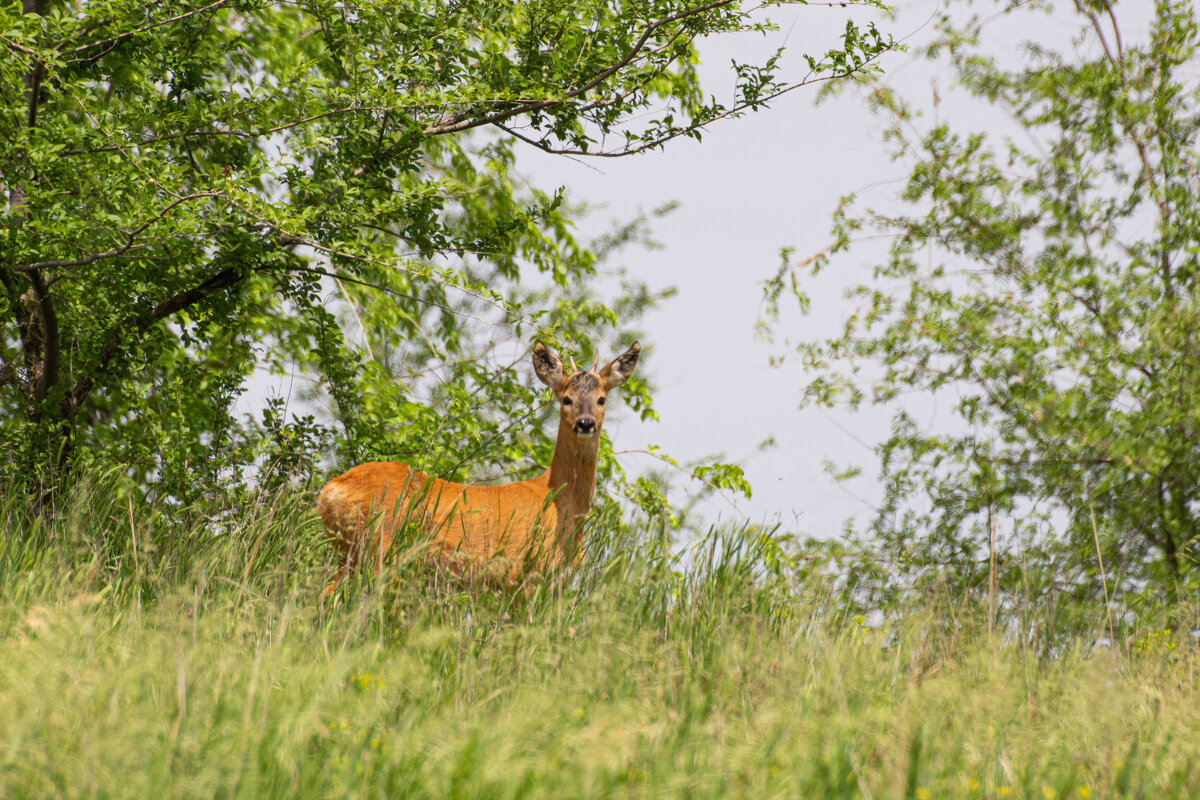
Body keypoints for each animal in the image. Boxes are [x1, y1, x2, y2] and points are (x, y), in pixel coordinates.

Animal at [314, 340, 643, 597]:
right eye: (566, 398)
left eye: (601, 399)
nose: (585, 423)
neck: (559, 503)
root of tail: (330, 490)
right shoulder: (522, 575)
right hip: (380, 545)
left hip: (351, 553)